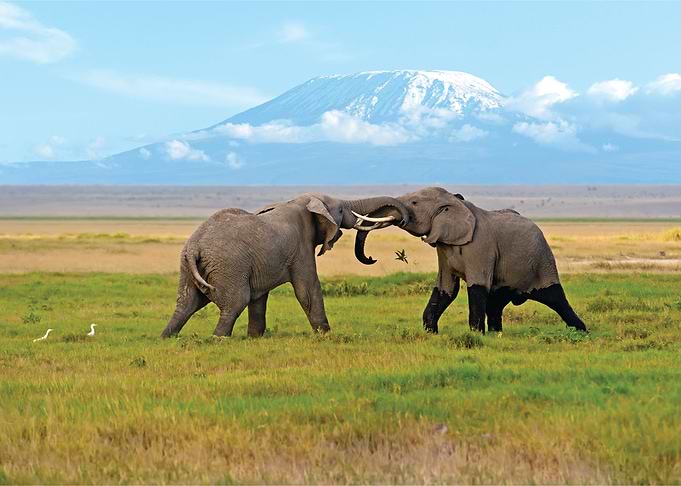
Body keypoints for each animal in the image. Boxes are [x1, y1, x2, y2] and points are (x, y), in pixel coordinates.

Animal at [160, 193, 409, 338]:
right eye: (340, 210)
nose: (372, 258)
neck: (301, 201)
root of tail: (195, 246)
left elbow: (259, 298)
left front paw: (255, 338)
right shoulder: (301, 247)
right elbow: (307, 290)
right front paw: (326, 335)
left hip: (189, 267)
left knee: (186, 304)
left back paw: (167, 337)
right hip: (228, 266)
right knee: (236, 302)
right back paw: (218, 339)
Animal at [354, 187, 588, 335]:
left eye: (414, 202)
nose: (371, 258)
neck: (455, 203)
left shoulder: (480, 246)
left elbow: (476, 288)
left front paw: (476, 335)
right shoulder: (443, 248)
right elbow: (446, 289)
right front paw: (431, 334)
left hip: (543, 261)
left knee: (556, 298)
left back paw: (582, 331)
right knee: (496, 304)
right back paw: (496, 334)